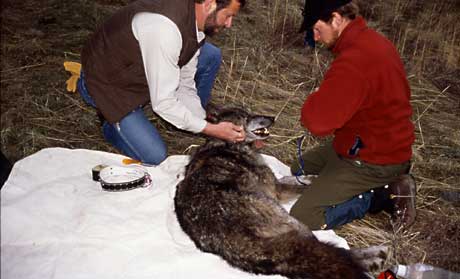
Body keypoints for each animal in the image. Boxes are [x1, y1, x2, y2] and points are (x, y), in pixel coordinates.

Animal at [174, 107, 386, 279]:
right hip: (292, 220)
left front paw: (310, 176)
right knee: (330, 251)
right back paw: (376, 256)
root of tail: (236, 242)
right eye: (246, 117)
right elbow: (301, 187)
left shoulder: (276, 184)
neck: (227, 145)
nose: (271, 118)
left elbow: (296, 178)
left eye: (249, 111)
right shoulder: (276, 191)